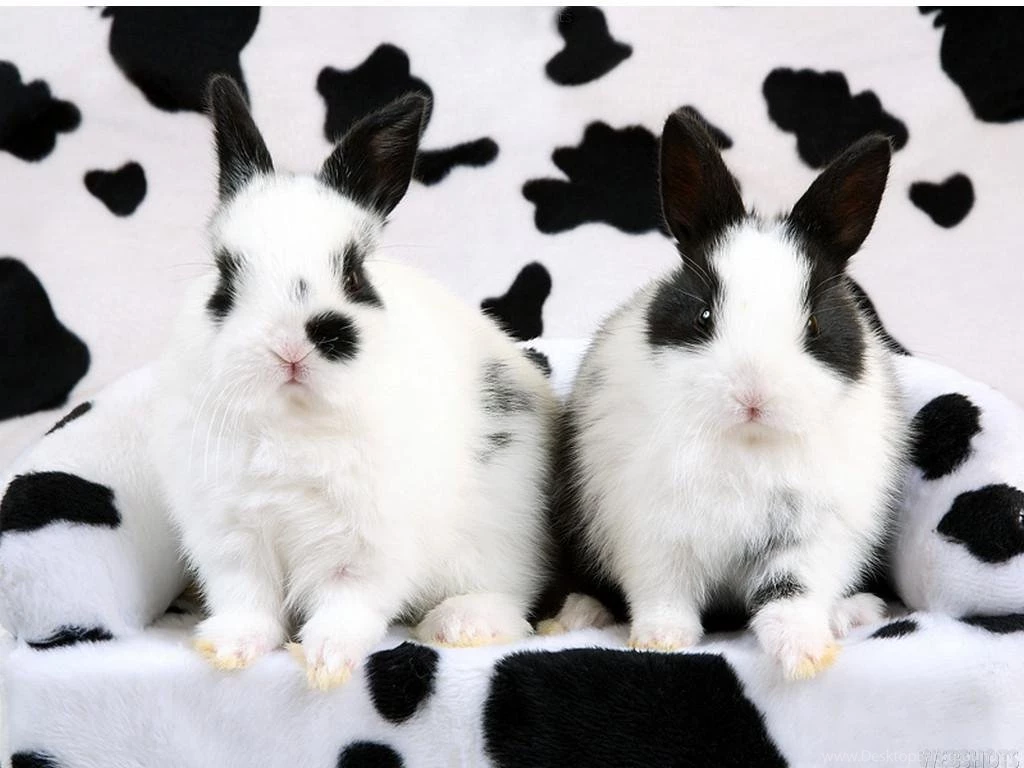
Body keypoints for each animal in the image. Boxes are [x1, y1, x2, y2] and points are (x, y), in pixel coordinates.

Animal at [149, 77, 557, 690]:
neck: (293, 424)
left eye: (354, 274)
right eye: (225, 276)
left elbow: (348, 602)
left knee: (510, 597)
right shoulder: (232, 539)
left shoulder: (365, 546)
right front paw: (229, 649)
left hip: (500, 536)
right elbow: (248, 599)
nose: (292, 344)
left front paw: (326, 661)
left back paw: (461, 625)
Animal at [543, 108, 909, 680]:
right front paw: (660, 640)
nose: (753, 396)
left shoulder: (811, 536)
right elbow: (664, 592)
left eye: (814, 325)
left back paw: (854, 612)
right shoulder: (651, 531)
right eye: (702, 316)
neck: (747, 441)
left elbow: (792, 594)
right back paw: (580, 613)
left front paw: (806, 655)